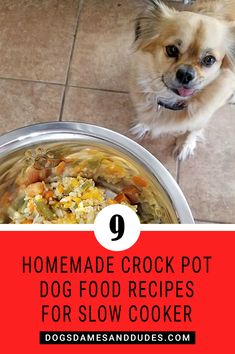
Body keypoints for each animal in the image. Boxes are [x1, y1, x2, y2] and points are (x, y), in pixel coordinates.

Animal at [129, 0, 235, 160]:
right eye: (172, 50)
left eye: (209, 60)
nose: (185, 74)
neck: (171, 100)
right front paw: (144, 125)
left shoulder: (203, 116)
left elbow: (192, 130)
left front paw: (185, 145)